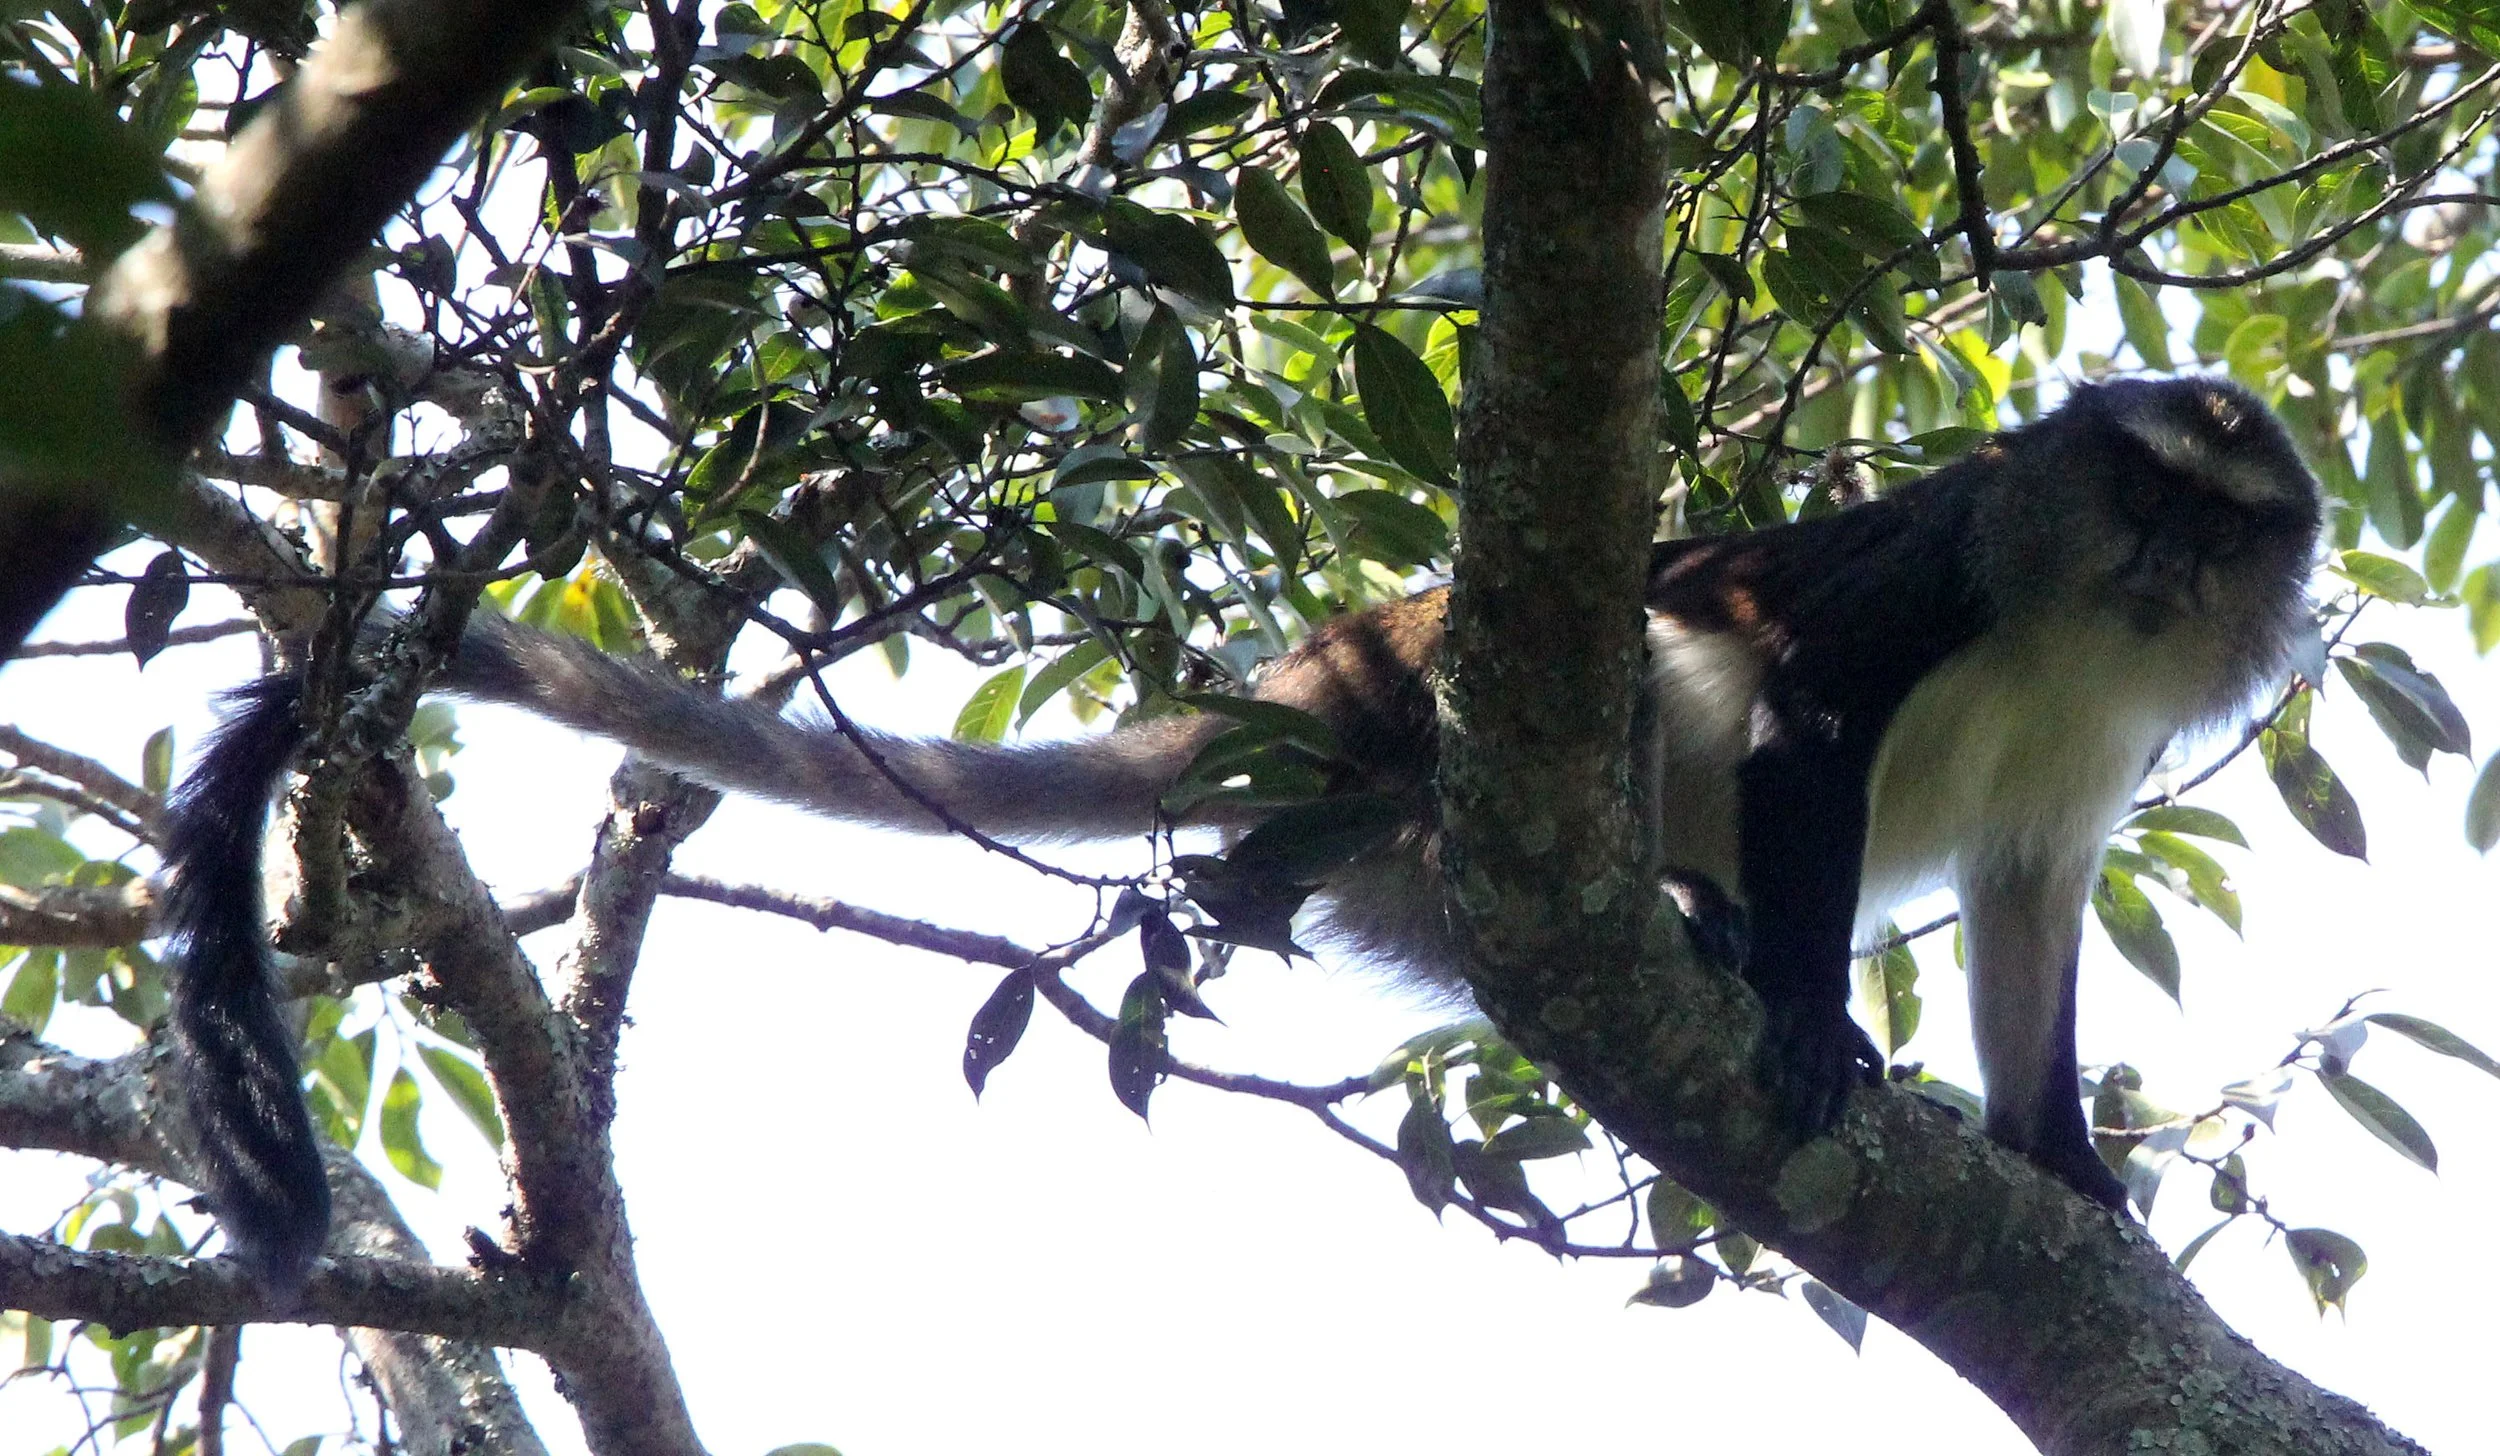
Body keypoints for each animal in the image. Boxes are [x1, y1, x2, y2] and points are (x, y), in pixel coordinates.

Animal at [158, 375, 2320, 1288]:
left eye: (2217, 525)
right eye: (2138, 488)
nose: (2156, 558)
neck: (2079, 617)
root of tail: (1305, 689)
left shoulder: (2096, 763)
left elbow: (2030, 897)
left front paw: (2060, 1158)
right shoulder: (1937, 572)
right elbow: (1801, 709)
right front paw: (1803, 1014)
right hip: (1421, 727)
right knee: (1611, 678)